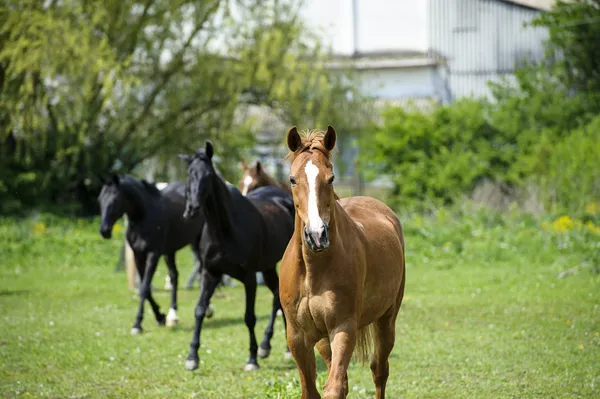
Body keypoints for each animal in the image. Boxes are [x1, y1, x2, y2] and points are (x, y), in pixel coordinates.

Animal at [98, 175, 206, 334]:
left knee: (200, 271)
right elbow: (146, 288)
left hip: (196, 243)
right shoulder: (138, 255)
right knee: (174, 276)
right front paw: (160, 316)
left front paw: (137, 324)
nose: (104, 231)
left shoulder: (153, 254)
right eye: (100, 199)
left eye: (115, 200)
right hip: (170, 251)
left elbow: (144, 288)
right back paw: (172, 315)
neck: (143, 217)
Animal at [178, 142, 296, 374]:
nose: (192, 208)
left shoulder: (249, 278)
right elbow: (199, 310)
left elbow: (249, 317)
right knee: (278, 296)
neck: (224, 228)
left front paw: (252, 359)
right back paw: (274, 347)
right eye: (189, 174)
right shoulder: (210, 274)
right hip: (268, 267)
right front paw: (192, 357)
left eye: (207, 175)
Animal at [278, 126, 406, 399]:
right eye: (292, 179)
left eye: (331, 178)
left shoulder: (343, 328)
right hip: (323, 340)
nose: (317, 235)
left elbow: (334, 388)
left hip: (386, 320)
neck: (313, 271)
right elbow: (312, 391)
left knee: (379, 371)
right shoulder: (298, 336)